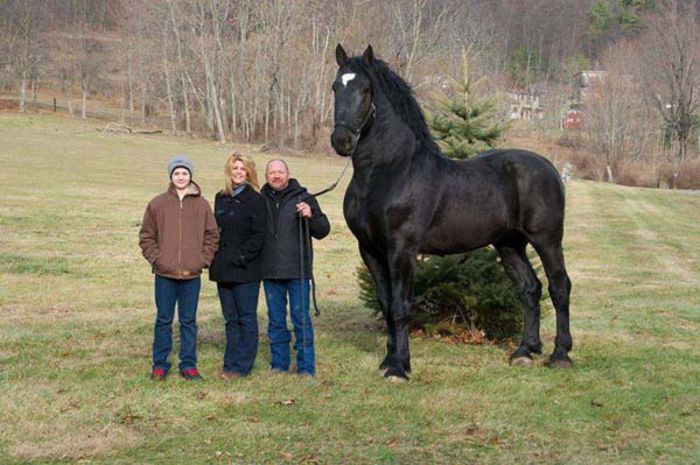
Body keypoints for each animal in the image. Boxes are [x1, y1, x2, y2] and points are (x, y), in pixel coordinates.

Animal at [330, 44, 572, 380]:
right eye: (336, 87)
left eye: (365, 90)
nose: (341, 140)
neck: (389, 172)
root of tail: (548, 166)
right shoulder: (370, 250)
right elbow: (386, 305)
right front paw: (389, 359)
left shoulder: (402, 249)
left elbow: (401, 307)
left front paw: (399, 368)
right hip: (510, 244)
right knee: (530, 289)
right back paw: (525, 351)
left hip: (546, 240)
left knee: (559, 287)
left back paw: (560, 353)